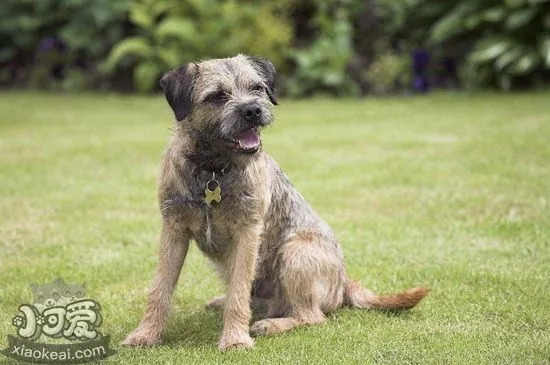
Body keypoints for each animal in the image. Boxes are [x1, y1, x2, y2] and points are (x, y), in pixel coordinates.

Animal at [122, 54, 432, 350]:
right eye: (218, 96)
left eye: (257, 88)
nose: (253, 110)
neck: (212, 171)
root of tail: (345, 281)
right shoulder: (173, 229)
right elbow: (160, 288)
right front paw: (145, 335)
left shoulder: (247, 232)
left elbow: (239, 290)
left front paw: (235, 339)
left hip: (295, 251)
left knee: (311, 316)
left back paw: (271, 324)